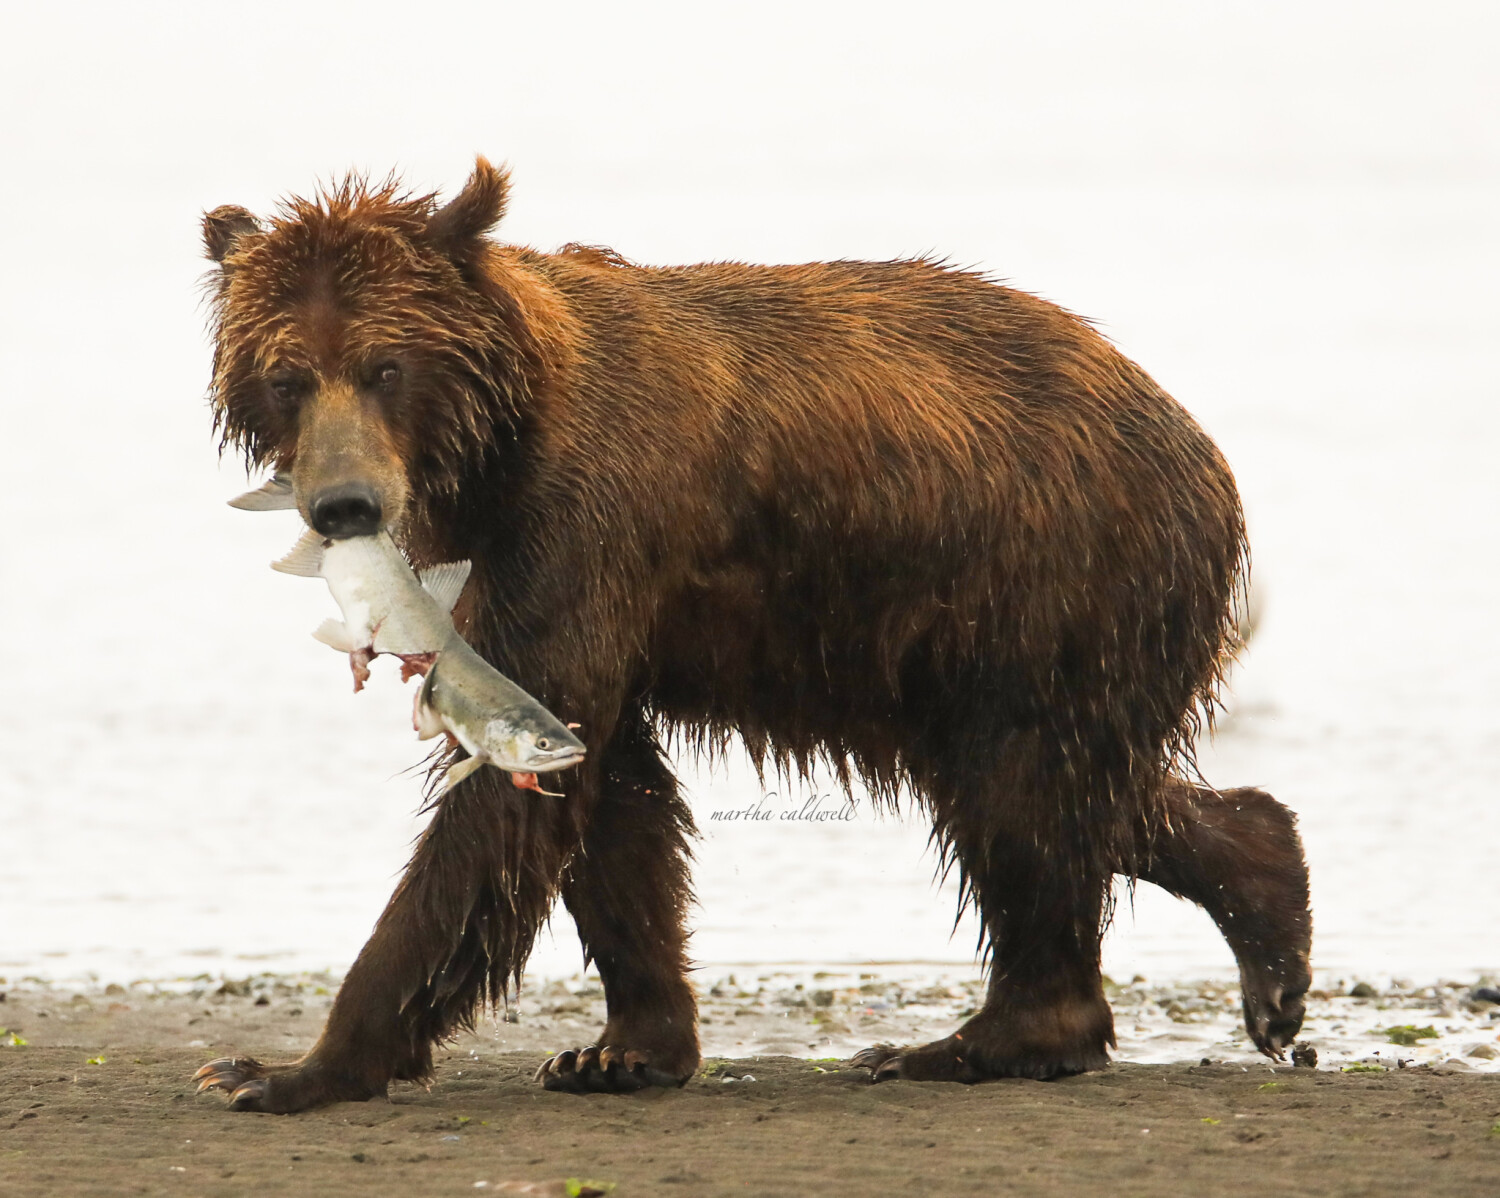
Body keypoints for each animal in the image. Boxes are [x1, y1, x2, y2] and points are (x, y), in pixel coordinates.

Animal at [193, 159, 1311, 1113]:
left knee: (1022, 790)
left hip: (1047, 573)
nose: (343, 503)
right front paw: (623, 1049)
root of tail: (1190, 434)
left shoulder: (582, 522)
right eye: (287, 376)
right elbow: (610, 789)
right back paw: (1269, 911)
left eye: (387, 365)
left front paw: (284, 1069)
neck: (496, 441)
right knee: (1073, 783)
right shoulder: (517, 566)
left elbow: (507, 802)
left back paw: (971, 1041)